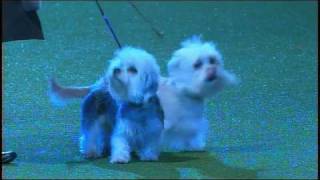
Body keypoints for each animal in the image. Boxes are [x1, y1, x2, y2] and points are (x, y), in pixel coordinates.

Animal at [48, 35, 238, 153]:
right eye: (197, 64)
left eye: (213, 60)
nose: (213, 71)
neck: (183, 91)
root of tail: (100, 83)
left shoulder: (192, 122)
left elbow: (194, 134)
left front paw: (195, 146)